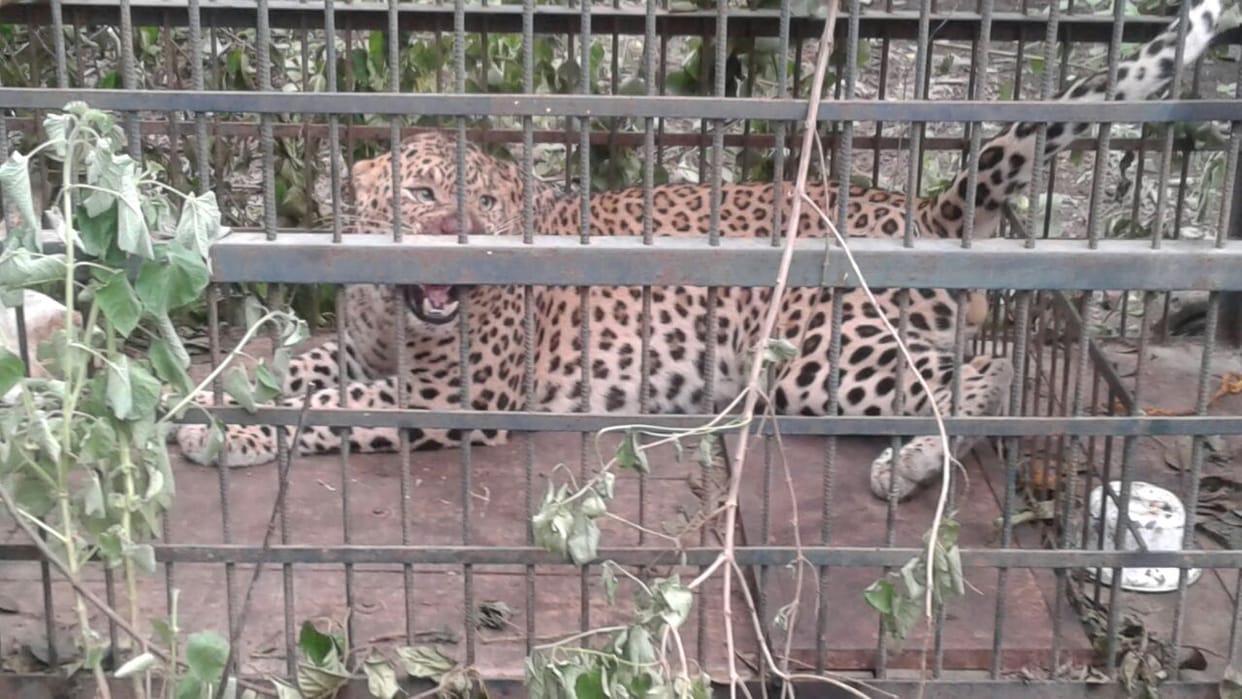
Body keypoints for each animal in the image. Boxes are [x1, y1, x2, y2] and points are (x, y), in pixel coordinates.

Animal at [176, 0, 1222, 502]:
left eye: (496, 207)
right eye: (425, 196)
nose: (457, 247)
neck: (394, 316)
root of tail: (911, 207)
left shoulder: (453, 401)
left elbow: (322, 408)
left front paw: (221, 432)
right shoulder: (361, 351)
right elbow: (293, 366)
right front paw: (198, 401)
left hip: (822, 354)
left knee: (991, 372)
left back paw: (909, 466)